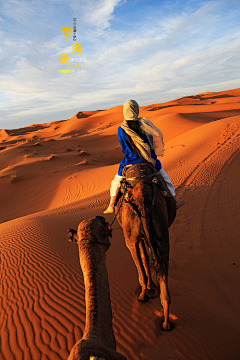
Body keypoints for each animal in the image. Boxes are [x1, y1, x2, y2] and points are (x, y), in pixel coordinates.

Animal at [116, 165, 176, 330]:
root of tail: (142, 196)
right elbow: (147, 257)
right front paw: (152, 286)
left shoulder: (137, 238)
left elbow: (143, 258)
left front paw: (149, 287)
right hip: (161, 230)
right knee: (162, 267)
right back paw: (166, 322)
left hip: (130, 237)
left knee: (137, 260)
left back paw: (143, 295)